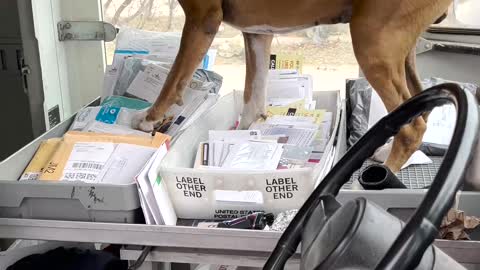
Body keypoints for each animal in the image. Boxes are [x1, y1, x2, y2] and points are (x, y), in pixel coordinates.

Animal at [136, 0, 454, 173]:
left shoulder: (203, 19)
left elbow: (174, 76)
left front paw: (149, 118)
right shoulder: (257, 34)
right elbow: (253, 96)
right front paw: (244, 138)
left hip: (373, 43)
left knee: (413, 127)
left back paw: (384, 172)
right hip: (399, 50)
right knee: (420, 106)